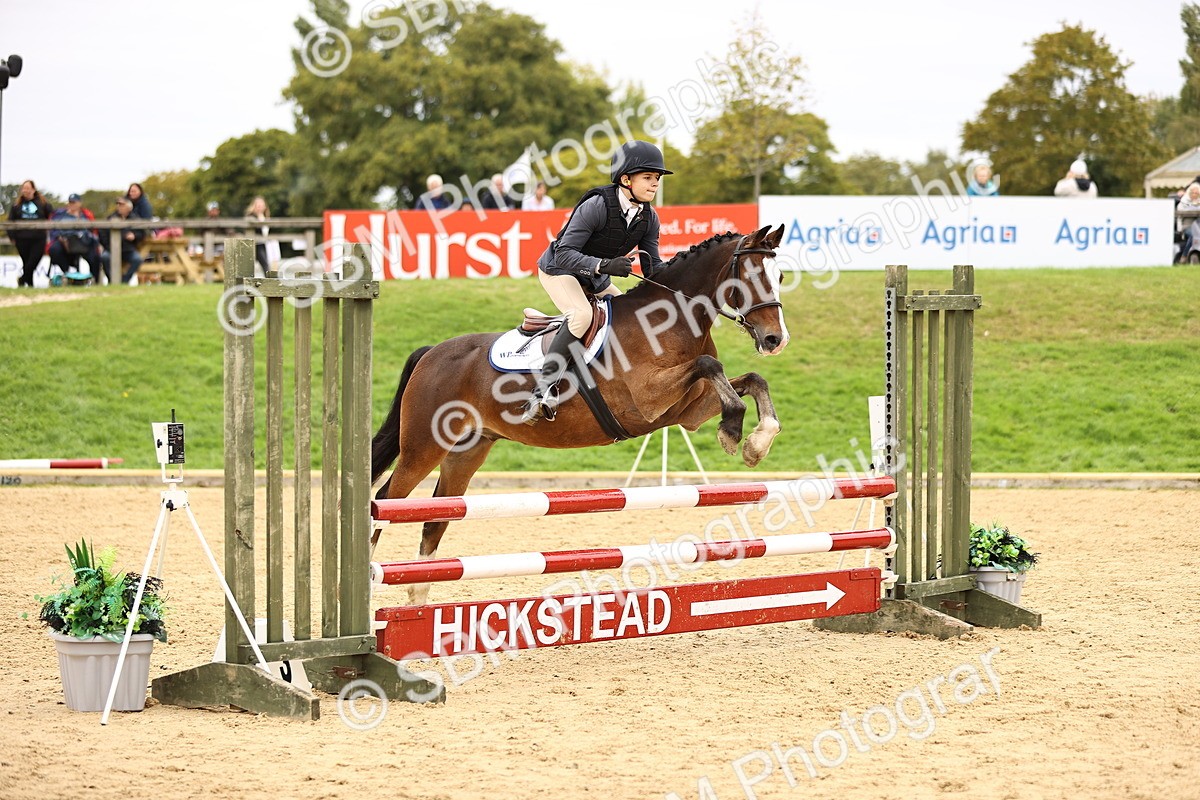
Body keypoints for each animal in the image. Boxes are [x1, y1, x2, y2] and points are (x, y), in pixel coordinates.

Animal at [370, 224, 789, 604]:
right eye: (752, 276)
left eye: (780, 277)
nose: (775, 340)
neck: (670, 321)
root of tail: (432, 352)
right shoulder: (647, 398)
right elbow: (709, 365)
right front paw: (733, 431)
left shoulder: (689, 409)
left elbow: (752, 380)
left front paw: (756, 443)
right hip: (423, 446)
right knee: (386, 501)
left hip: (468, 451)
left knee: (436, 519)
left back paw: (418, 602)